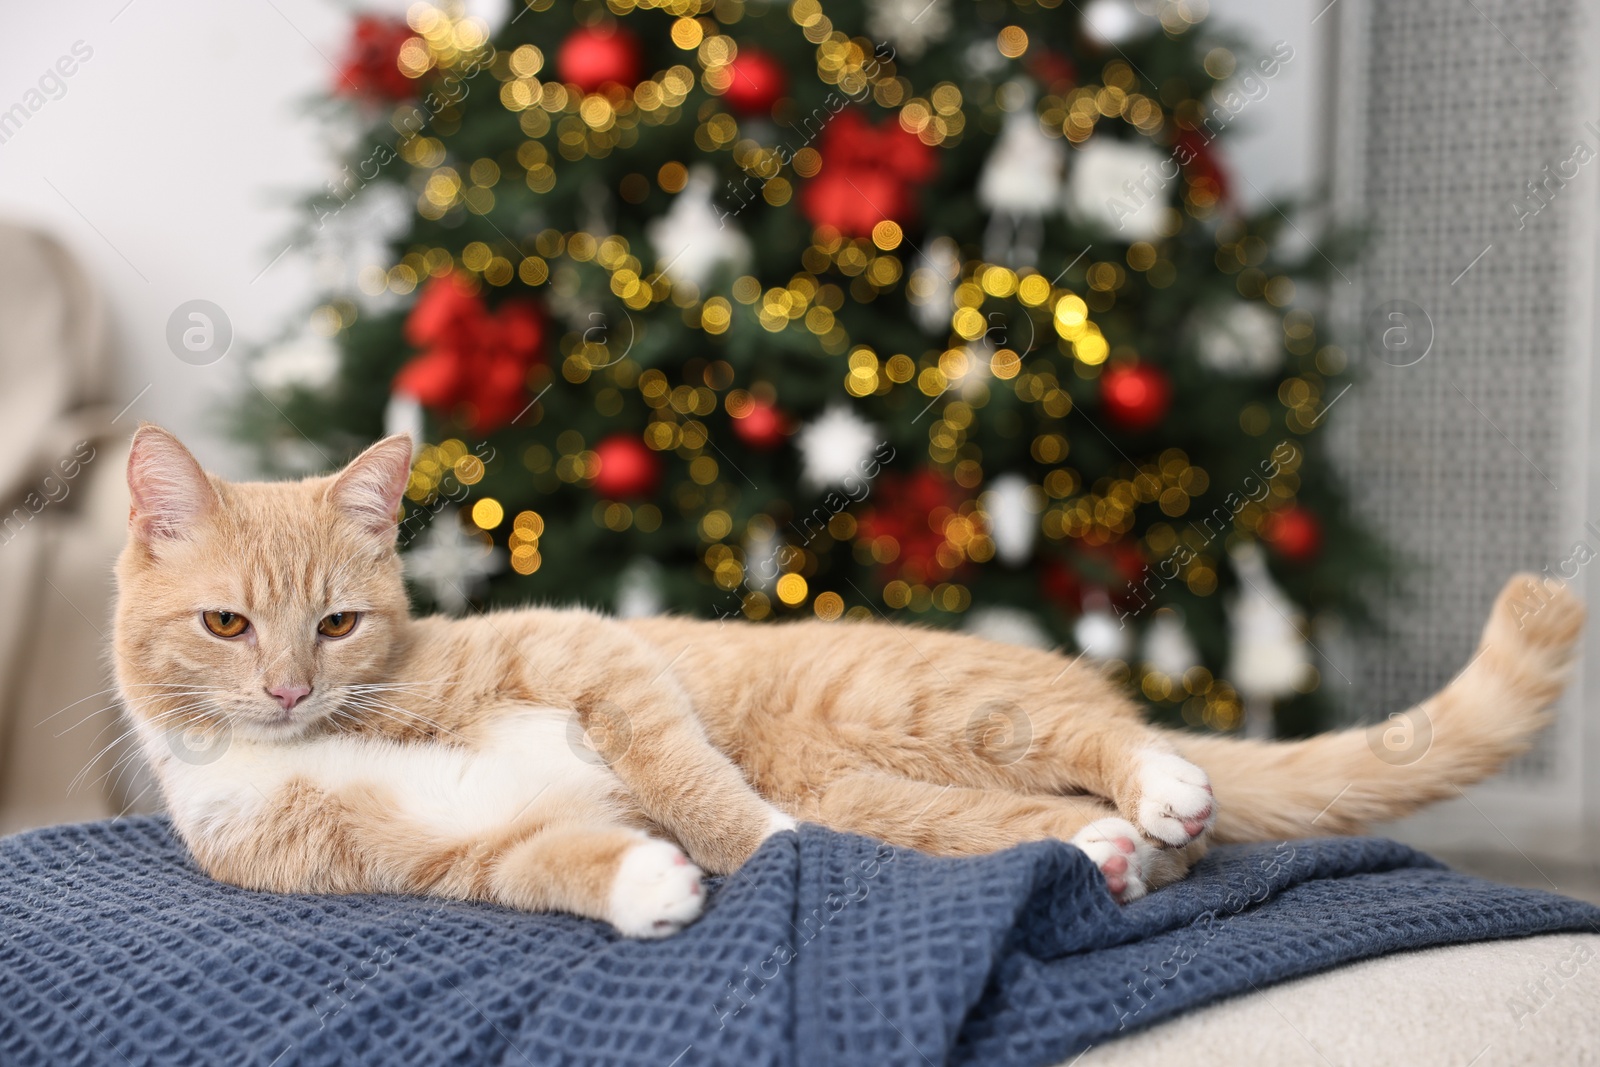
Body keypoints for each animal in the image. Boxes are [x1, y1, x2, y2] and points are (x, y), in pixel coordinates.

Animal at [116, 425, 1587, 934]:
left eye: (340, 622)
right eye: (230, 623)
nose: (289, 691)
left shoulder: (595, 653)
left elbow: (692, 779)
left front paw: (754, 848)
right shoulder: (435, 850)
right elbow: (548, 862)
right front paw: (647, 888)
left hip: (921, 708)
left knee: (1094, 745)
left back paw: (1160, 780)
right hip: (901, 795)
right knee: (1043, 829)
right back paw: (1120, 852)